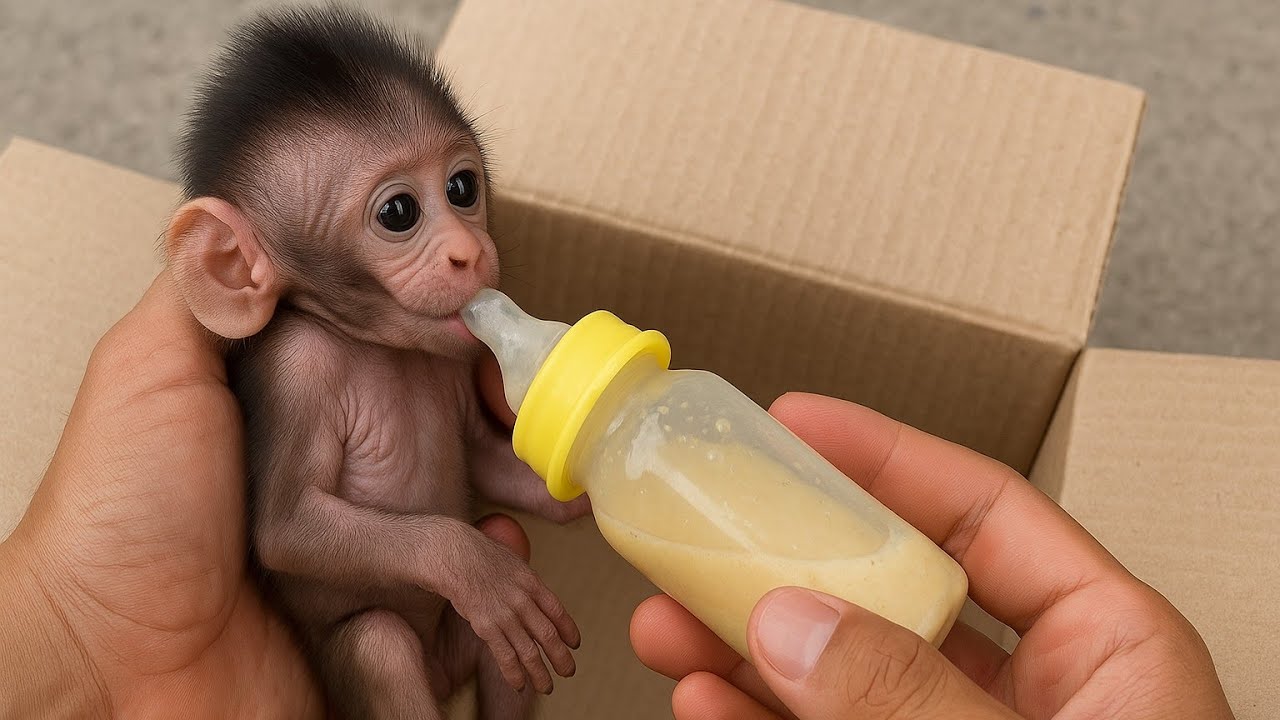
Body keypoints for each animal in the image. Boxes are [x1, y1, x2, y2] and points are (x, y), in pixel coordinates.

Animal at [162, 7, 591, 718]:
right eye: (399, 213)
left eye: (462, 187)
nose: (470, 253)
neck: (381, 346)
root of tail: (442, 681)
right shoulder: (296, 371)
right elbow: (287, 524)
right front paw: (473, 568)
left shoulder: (454, 362)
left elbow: (485, 459)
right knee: (378, 641)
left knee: (507, 540)